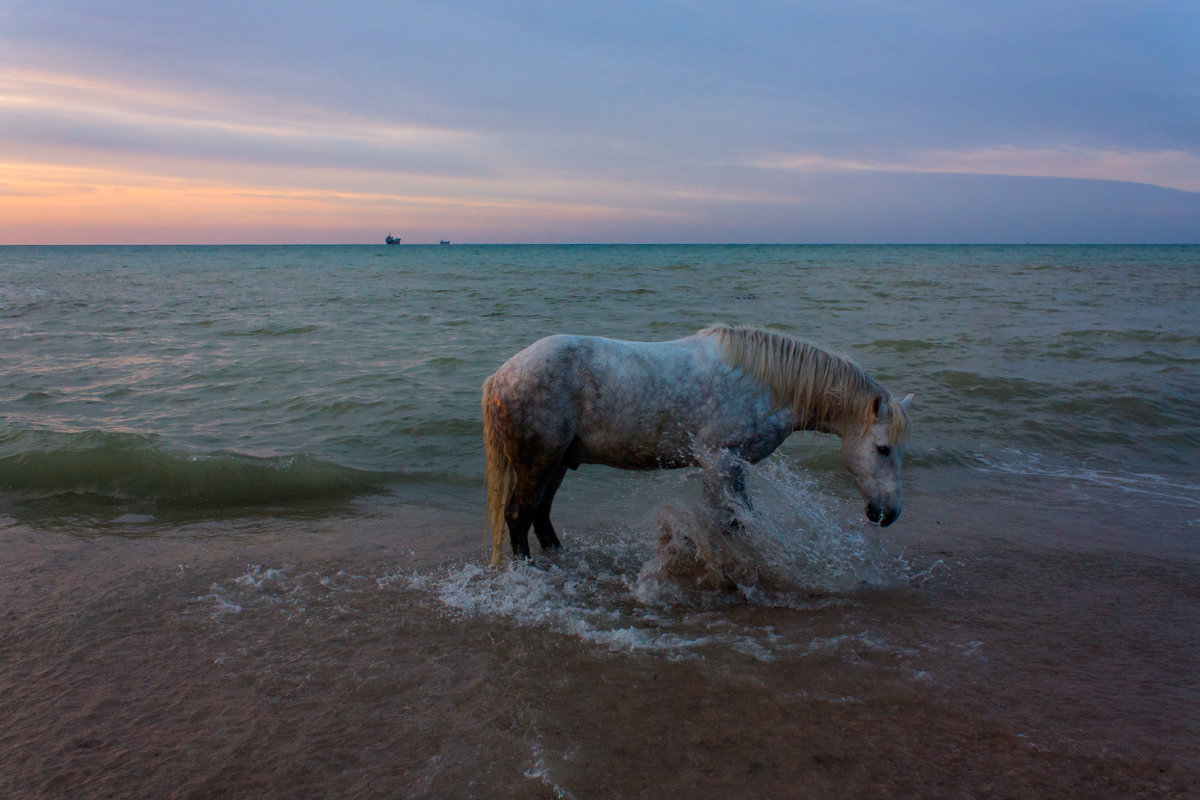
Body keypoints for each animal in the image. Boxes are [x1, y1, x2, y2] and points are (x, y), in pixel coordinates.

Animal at [477, 323, 907, 563]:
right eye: (883, 449)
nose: (888, 513)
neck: (764, 384)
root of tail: (502, 376)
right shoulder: (720, 462)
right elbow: (732, 522)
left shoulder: (730, 468)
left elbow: (733, 521)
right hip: (538, 462)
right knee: (518, 516)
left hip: (556, 463)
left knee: (540, 515)